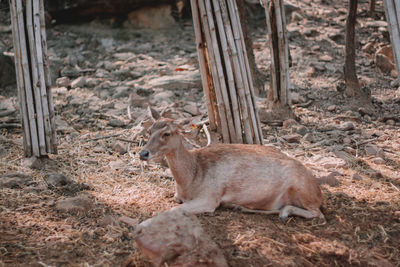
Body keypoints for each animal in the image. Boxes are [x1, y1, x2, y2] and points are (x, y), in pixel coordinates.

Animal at [139, 118, 326, 223]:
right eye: (149, 131)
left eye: (167, 133)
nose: (143, 153)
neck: (189, 180)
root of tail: (319, 193)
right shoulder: (178, 196)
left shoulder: (209, 198)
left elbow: (170, 211)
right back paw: (241, 207)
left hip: (301, 188)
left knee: (318, 214)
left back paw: (284, 213)